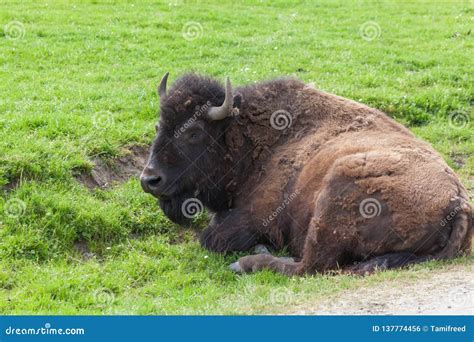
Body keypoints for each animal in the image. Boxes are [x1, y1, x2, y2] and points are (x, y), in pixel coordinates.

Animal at [140, 72, 470, 276]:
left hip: (335, 192)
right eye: (158, 126)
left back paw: (246, 263)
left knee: (310, 266)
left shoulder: (252, 217)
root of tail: (459, 202)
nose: (149, 180)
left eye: (193, 132)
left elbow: (210, 238)